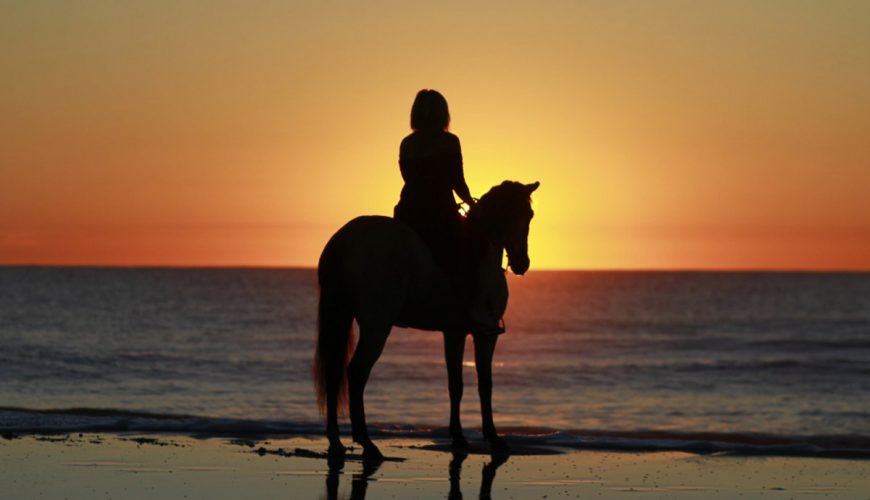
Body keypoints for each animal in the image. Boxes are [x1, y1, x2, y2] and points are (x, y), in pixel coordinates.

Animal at [314, 180, 540, 460]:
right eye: (513, 214)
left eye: (528, 215)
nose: (522, 263)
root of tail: (345, 240)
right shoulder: (484, 335)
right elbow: (485, 384)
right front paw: (494, 438)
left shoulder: (454, 332)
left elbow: (456, 385)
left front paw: (458, 436)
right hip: (377, 326)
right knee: (356, 373)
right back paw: (367, 443)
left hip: (341, 316)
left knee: (334, 372)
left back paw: (336, 442)